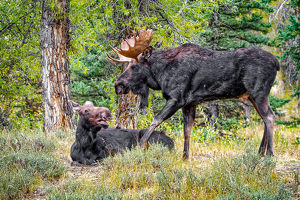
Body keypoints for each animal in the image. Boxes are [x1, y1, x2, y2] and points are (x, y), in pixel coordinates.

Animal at [107, 29, 278, 159]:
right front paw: (185, 156)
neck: (160, 75)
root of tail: (277, 63)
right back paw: (260, 152)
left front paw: (141, 144)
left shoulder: (176, 99)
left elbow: (156, 120)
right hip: (252, 95)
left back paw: (269, 154)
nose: (118, 85)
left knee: (269, 117)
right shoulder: (190, 103)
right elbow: (187, 130)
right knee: (265, 117)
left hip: (258, 92)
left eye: (134, 66)